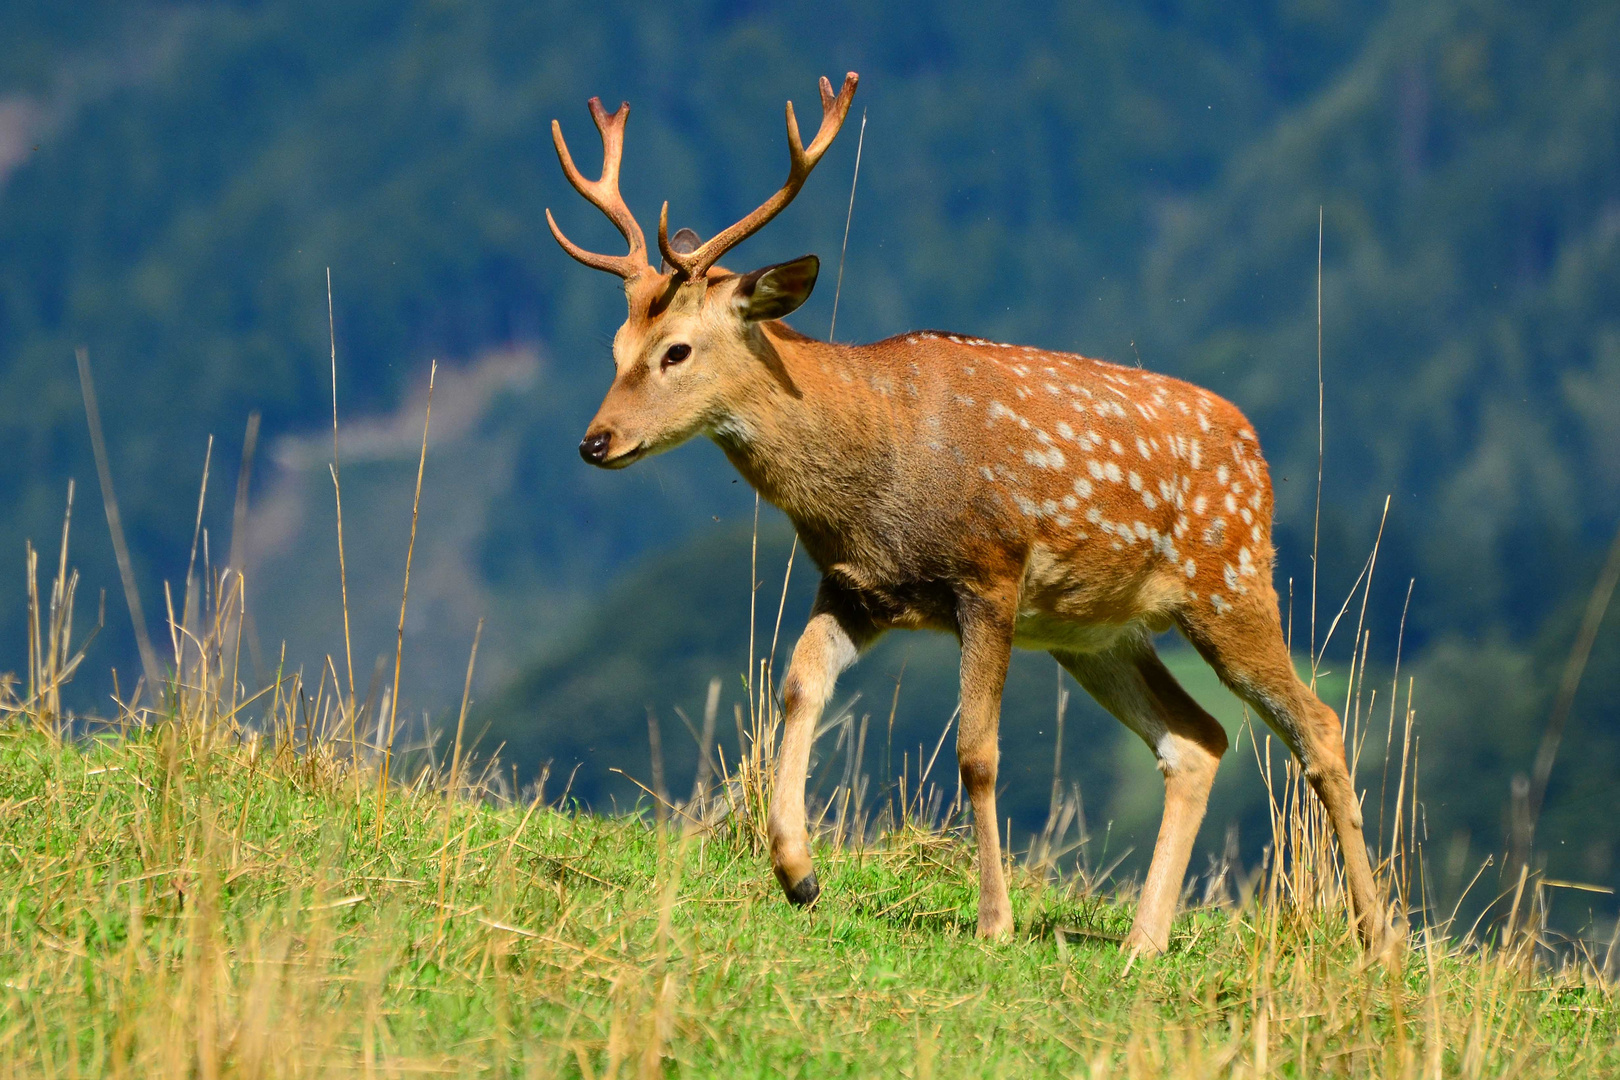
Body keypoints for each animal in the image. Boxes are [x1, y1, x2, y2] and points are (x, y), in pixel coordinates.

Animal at [550, 74, 1399, 952]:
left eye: (676, 350)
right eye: (615, 347)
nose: (595, 441)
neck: (877, 470)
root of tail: (1258, 452)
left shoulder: (988, 573)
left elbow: (977, 752)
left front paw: (994, 920)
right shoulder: (854, 585)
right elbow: (797, 687)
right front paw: (797, 872)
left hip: (1229, 582)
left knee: (1318, 724)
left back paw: (1379, 938)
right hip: (1097, 633)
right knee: (1198, 739)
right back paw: (1143, 941)